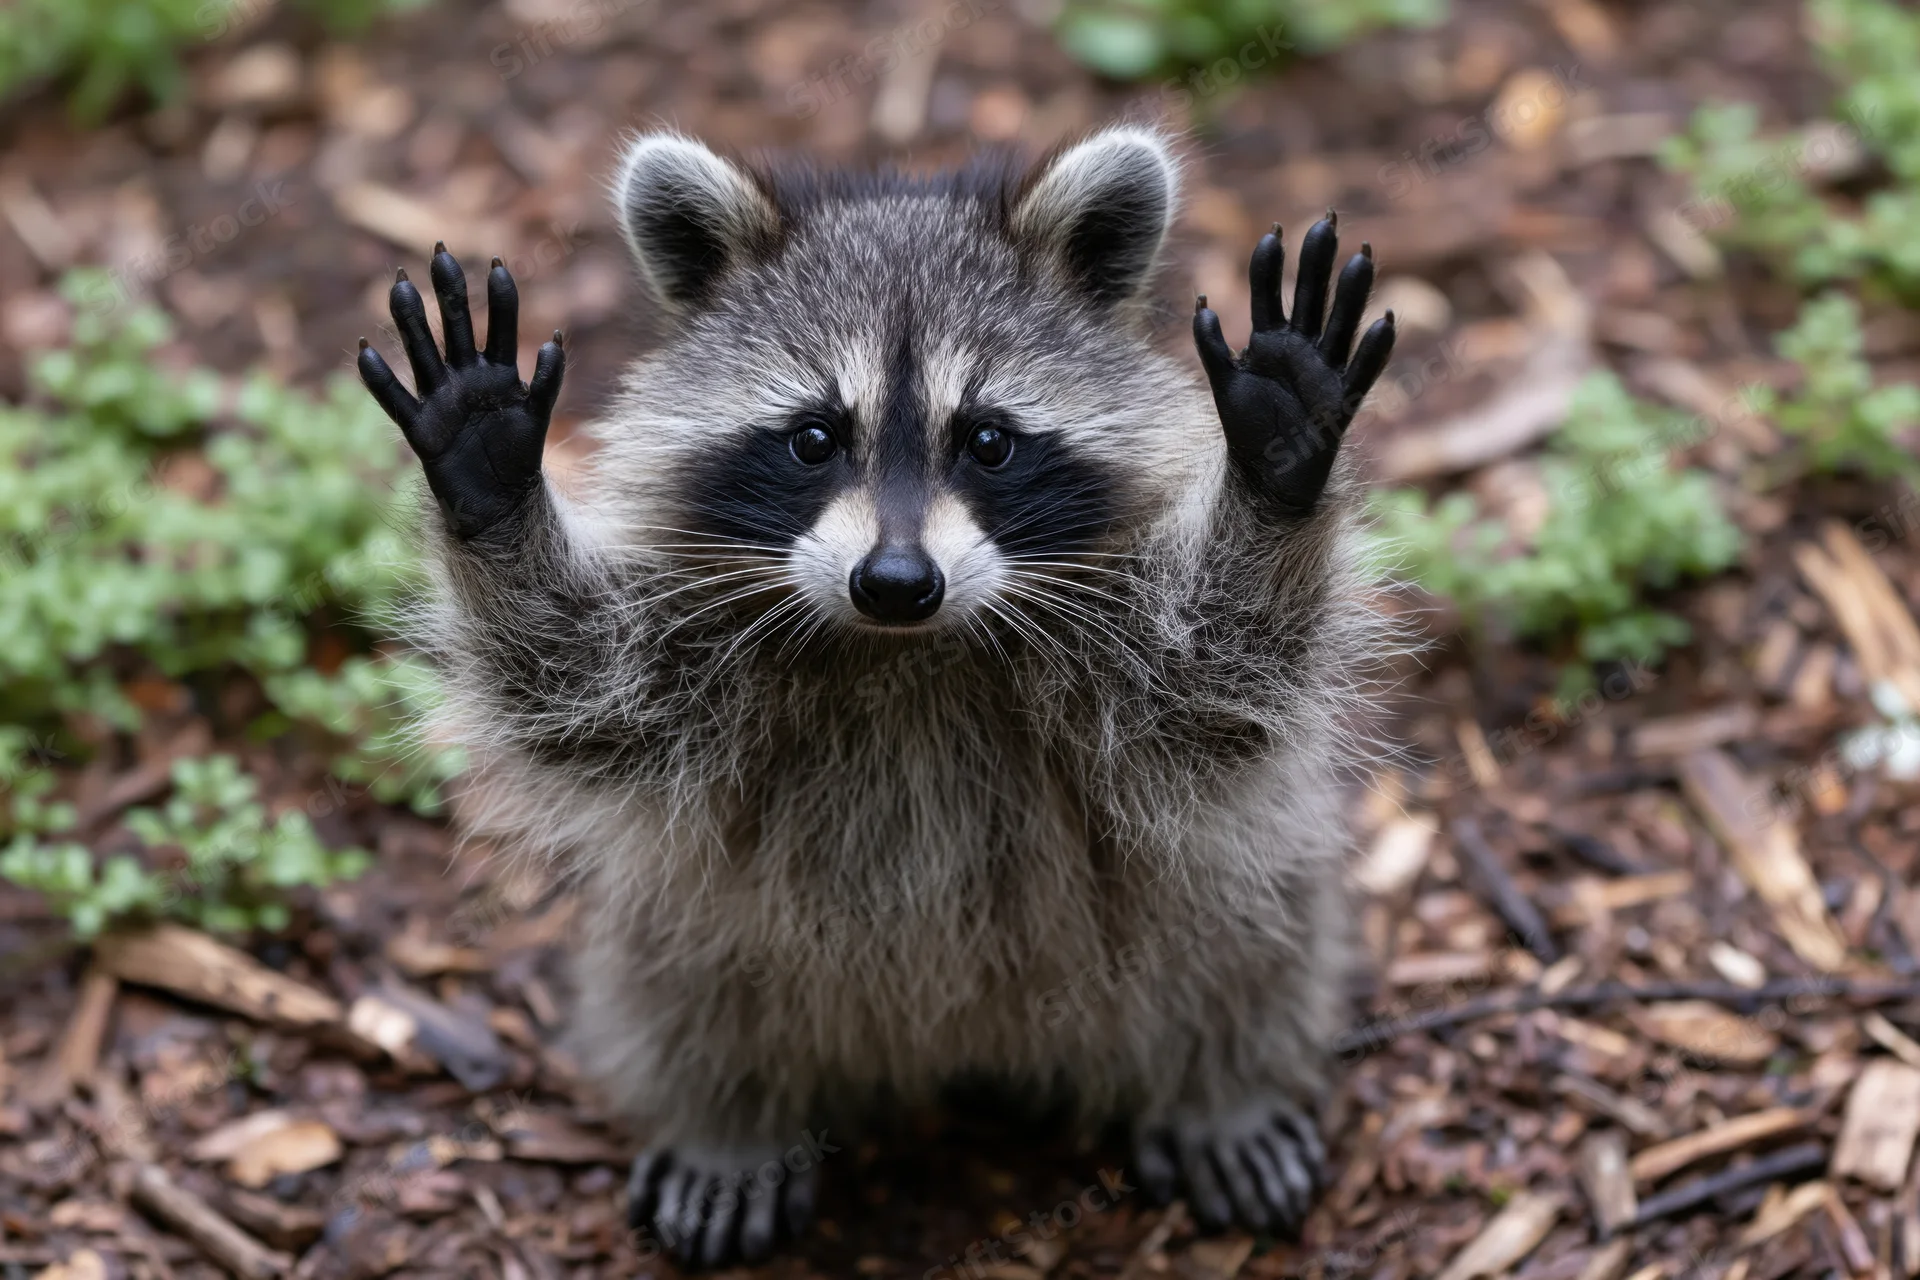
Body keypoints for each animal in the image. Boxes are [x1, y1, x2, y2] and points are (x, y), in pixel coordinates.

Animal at [356, 124, 1396, 1269]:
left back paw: (1220, 1086)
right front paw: (491, 478)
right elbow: (585, 690)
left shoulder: (1120, 644)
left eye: (988, 440)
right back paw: (729, 1120)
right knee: (682, 970)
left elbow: (1212, 679)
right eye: (815, 437)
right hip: (704, 935)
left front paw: (1278, 455)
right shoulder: (699, 651)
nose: (896, 581)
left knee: (1242, 918)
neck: (905, 648)